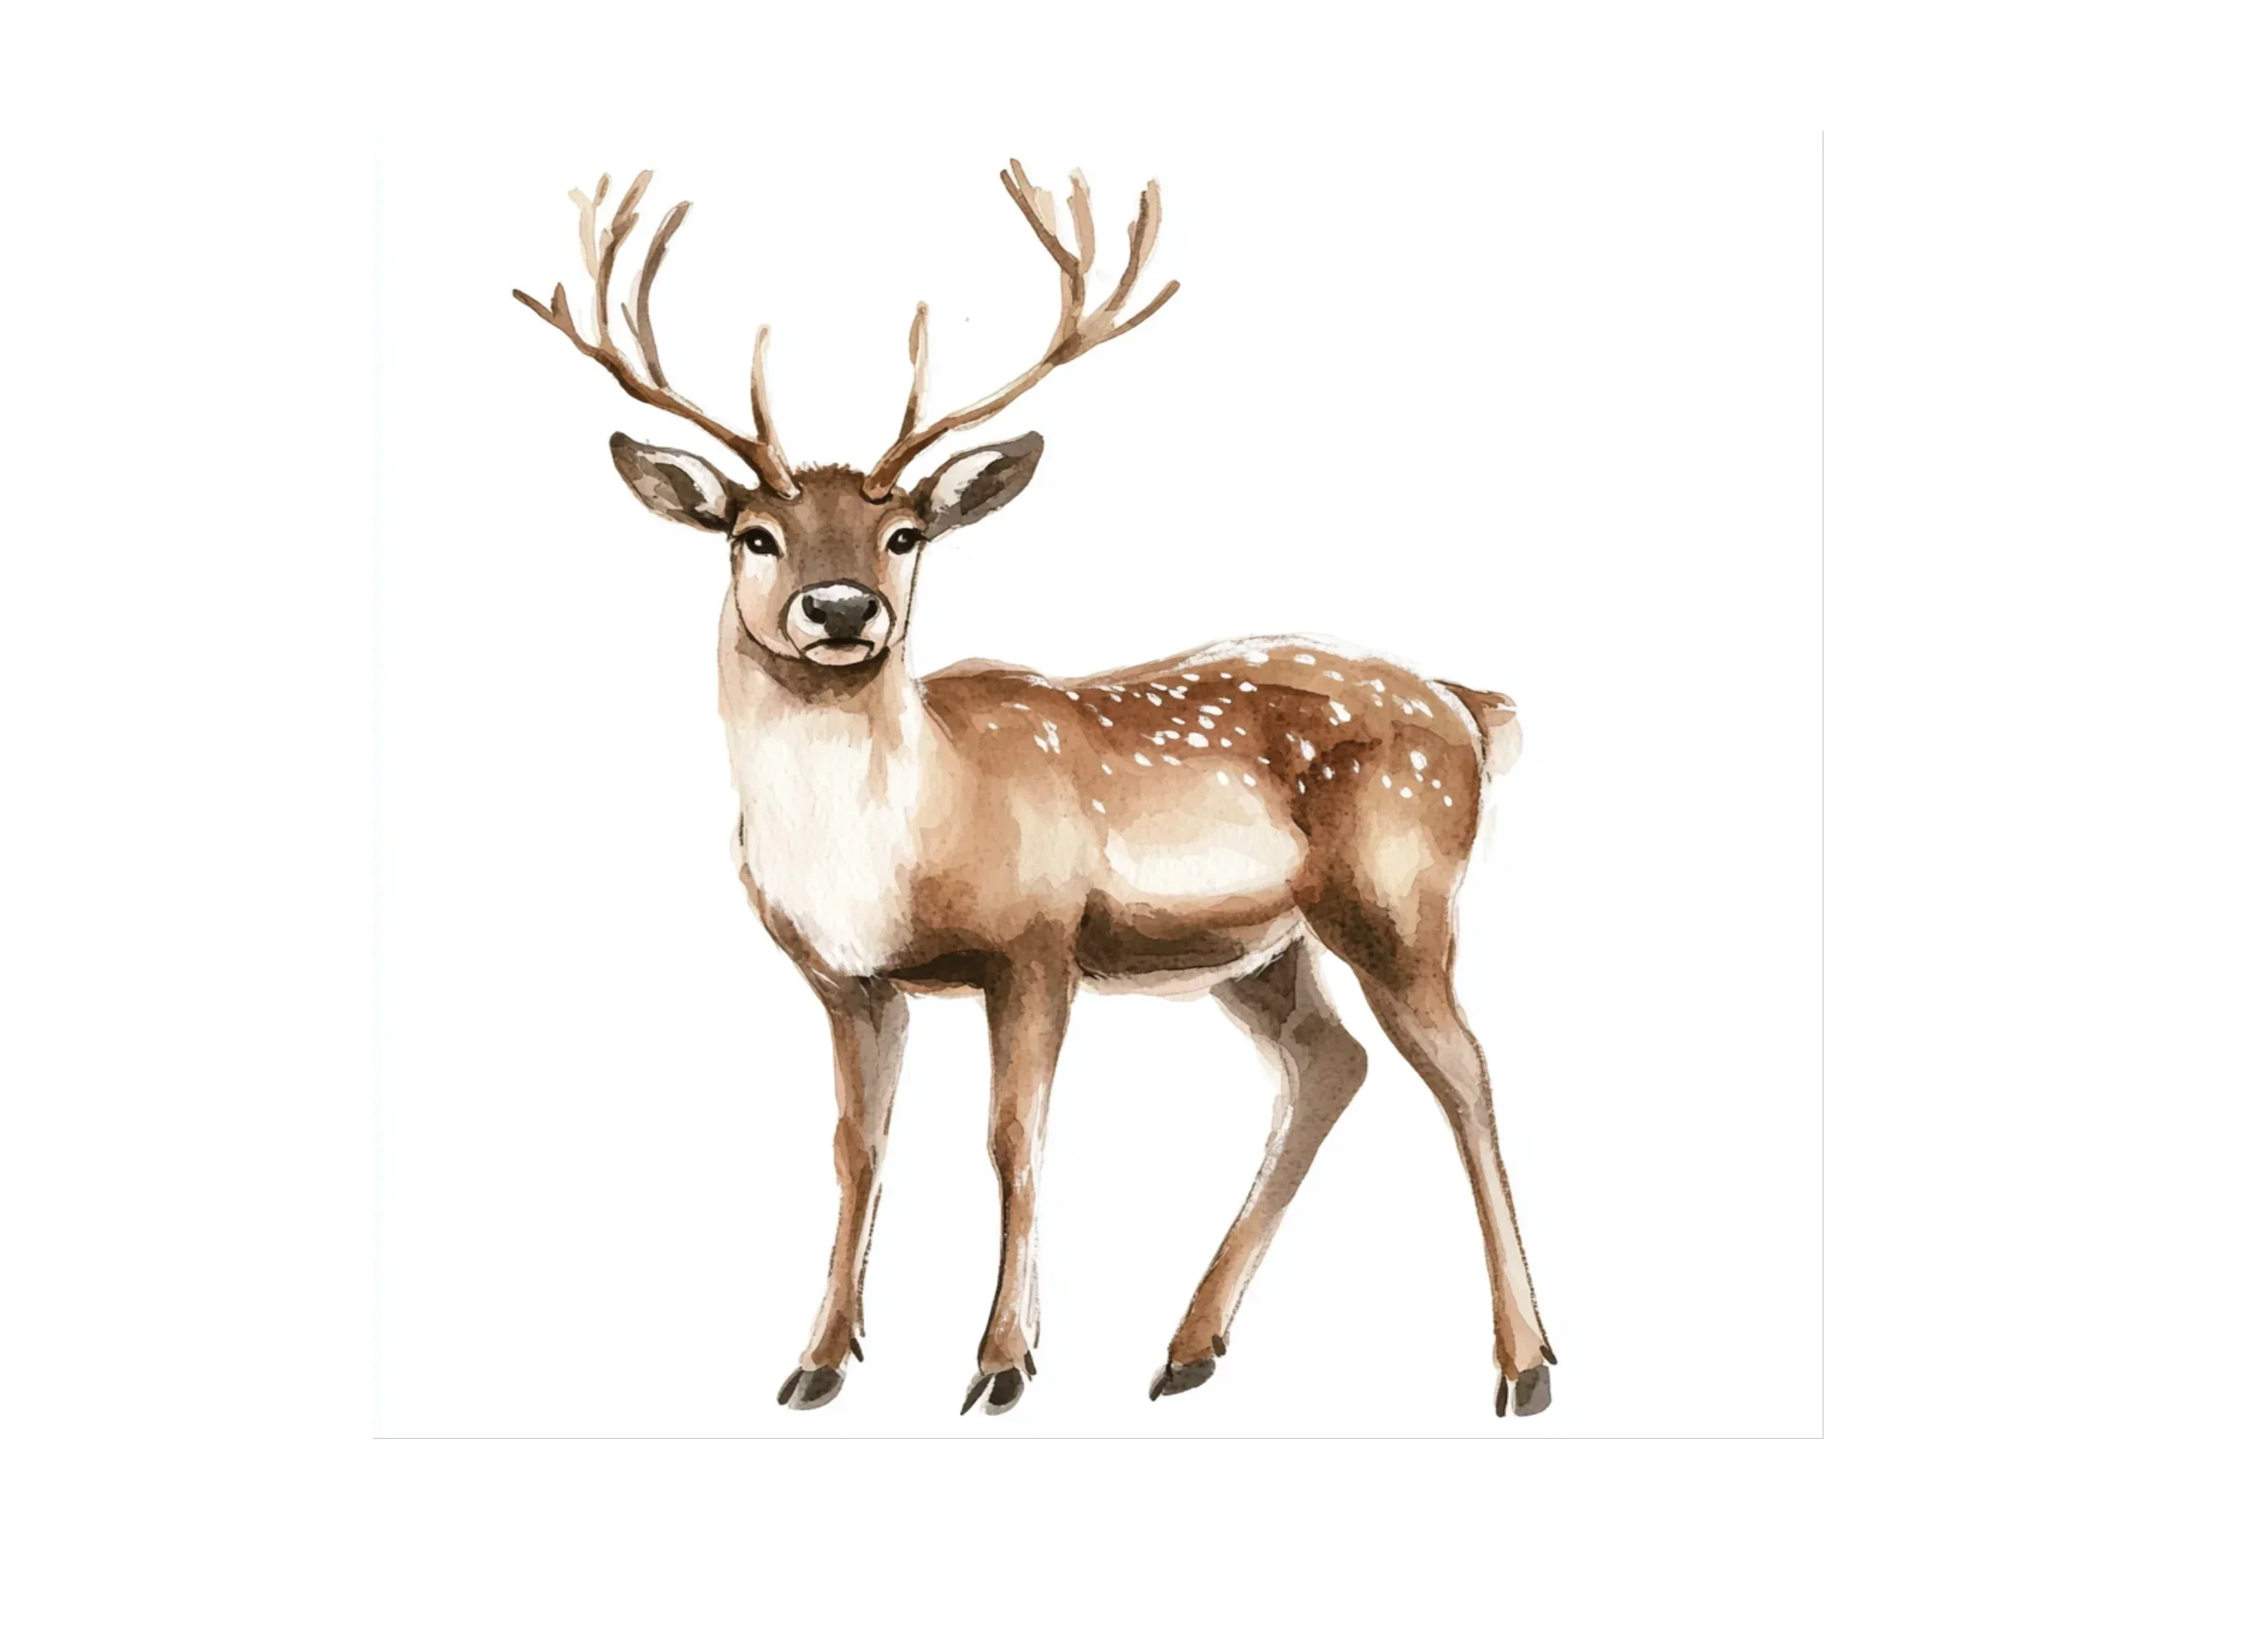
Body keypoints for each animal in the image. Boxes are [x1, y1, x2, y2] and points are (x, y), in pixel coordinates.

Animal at [512, 162, 1556, 1418]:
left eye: (906, 533)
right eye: (753, 534)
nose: (841, 609)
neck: (894, 846)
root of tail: (1467, 706)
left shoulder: (1038, 941)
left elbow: (1013, 1138)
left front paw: (1003, 1360)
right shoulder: (846, 979)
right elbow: (856, 1150)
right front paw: (817, 1360)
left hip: (1399, 891)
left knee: (1465, 1071)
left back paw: (1524, 1364)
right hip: (1258, 947)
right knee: (1328, 1065)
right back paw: (1187, 1347)